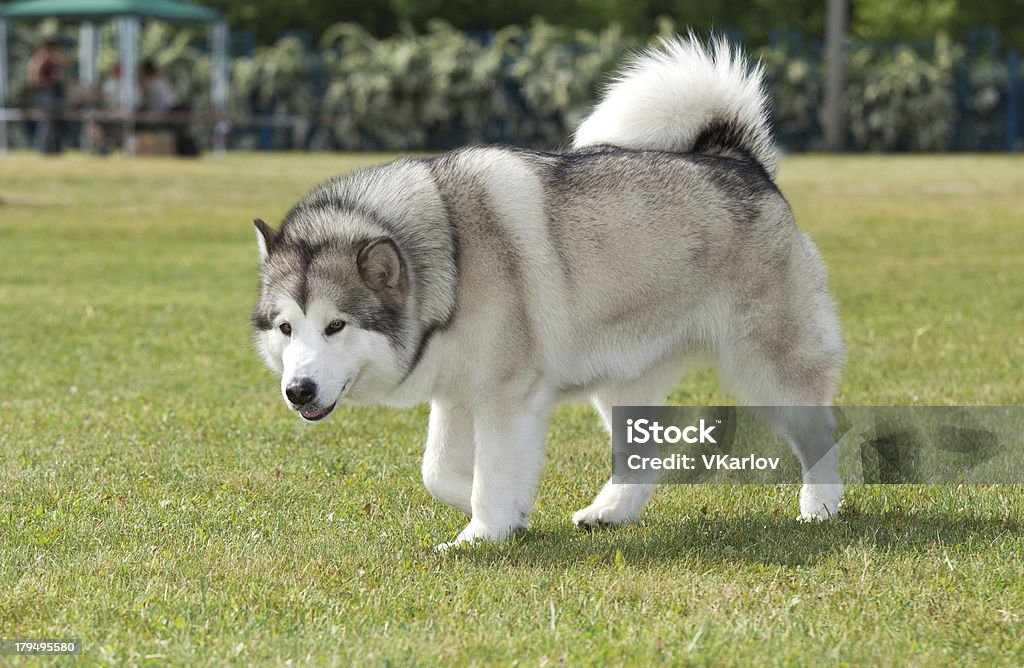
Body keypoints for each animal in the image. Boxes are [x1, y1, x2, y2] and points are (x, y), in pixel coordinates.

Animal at [251, 35, 843, 549]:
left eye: (335, 325)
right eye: (287, 328)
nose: (298, 390)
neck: (451, 259)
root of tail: (739, 159)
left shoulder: (504, 393)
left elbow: (489, 473)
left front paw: (480, 536)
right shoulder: (456, 389)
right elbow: (438, 472)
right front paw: (511, 513)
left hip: (768, 366)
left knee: (819, 430)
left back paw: (821, 507)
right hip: (622, 376)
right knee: (644, 453)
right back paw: (609, 512)